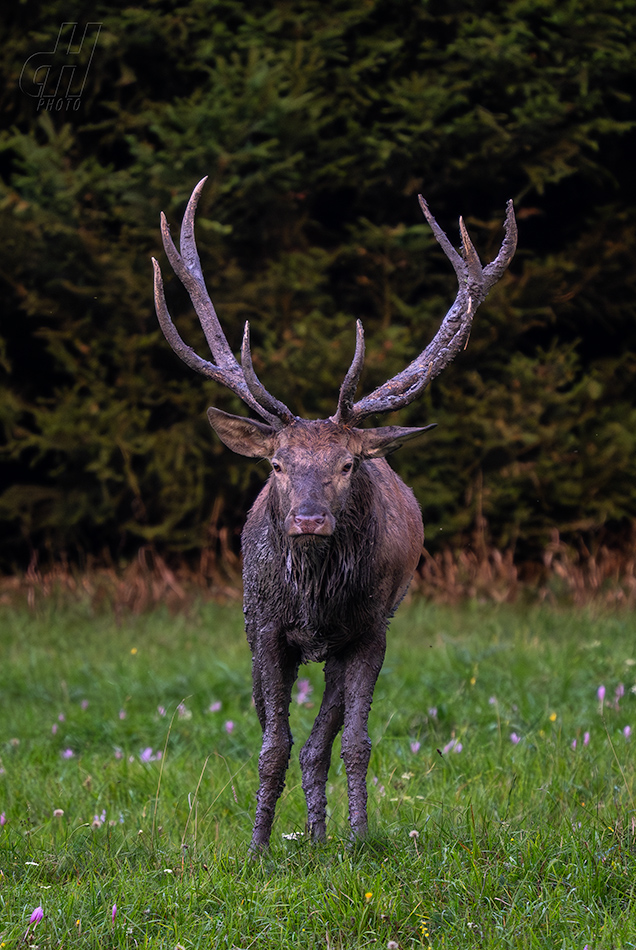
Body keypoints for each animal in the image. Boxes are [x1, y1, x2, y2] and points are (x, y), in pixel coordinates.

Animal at [154, 180, 516, 856]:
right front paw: (257, 848)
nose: (308, 521)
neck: (314, 598)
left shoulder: (370, 629)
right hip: (255, 630)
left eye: (348, 464)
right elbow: (272, 744)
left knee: (323, 737)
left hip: (357, 635)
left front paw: (356, 838)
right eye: (276, 464)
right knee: (285, 730)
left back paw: (322, 837)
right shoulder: (266, 628)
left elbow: (354, 742)